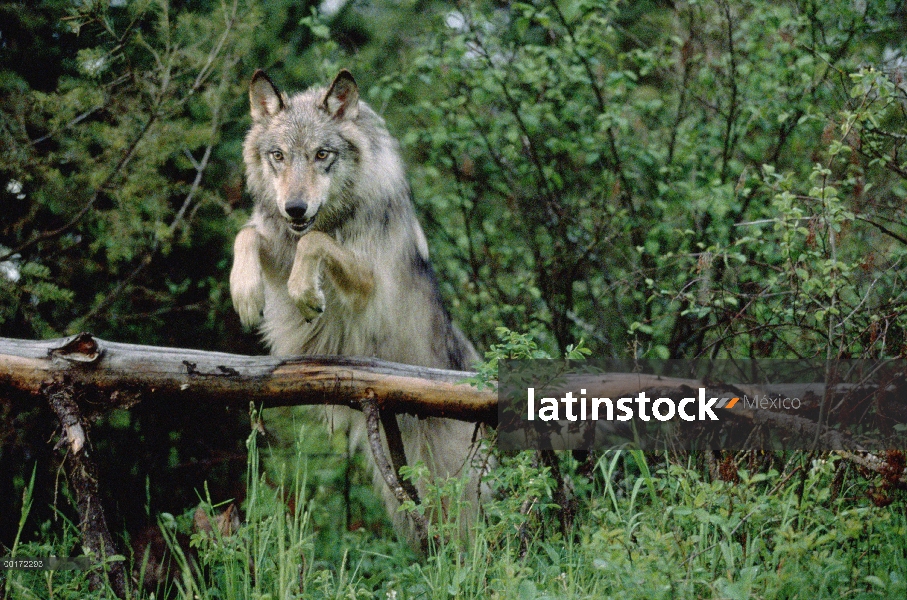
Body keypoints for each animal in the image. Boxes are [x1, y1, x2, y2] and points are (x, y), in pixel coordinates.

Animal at [231, 69, 486, 540]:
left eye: (321, 154)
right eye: (278, 156)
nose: (295, 208)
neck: (336, 215)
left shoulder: (367, 285)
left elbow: (314, 241)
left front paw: (307, 291)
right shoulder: (277, 247)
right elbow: (249, 233)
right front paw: (245, 292)